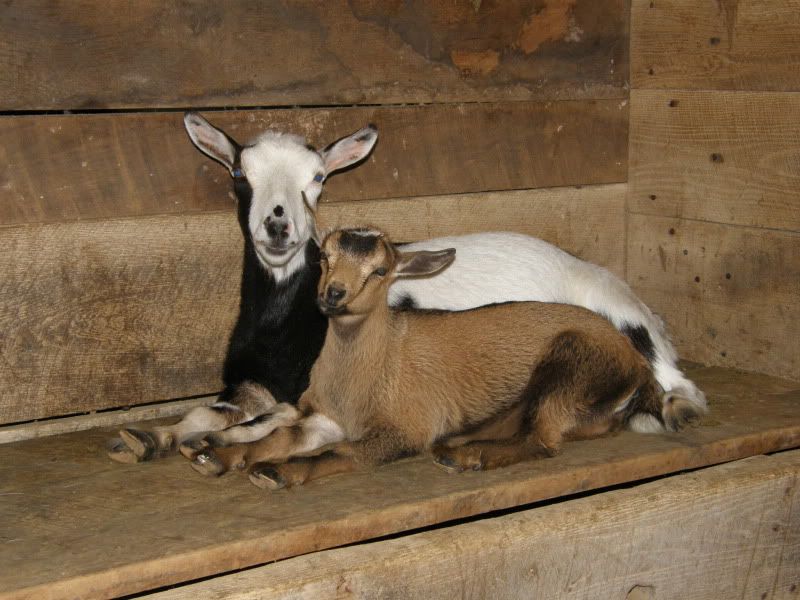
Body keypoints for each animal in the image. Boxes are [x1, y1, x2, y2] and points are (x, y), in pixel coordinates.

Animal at [187, 227, 680, 490]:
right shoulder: (323, 416)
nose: (334, 294)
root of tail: (638, 367)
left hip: (569, 366)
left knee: (543, 441)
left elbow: (340, 453)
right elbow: (278, 434)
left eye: (380, 271)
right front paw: (219, 456)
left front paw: (276, 472)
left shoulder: (405, 428)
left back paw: (464, 457)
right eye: (324, 257)